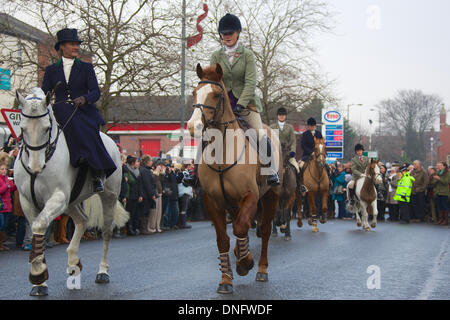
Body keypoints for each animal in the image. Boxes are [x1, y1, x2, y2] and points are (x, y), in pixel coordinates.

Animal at [14, 88, 122, 298]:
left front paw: (37, 274)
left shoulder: (58, 197)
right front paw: (40, 280)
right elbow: (36, 228)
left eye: (47, 128)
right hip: (72, 201)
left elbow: (39, 225)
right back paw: (74, 261)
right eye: (22, 128)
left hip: (108, 197)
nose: (35, 167)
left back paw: (102, 272)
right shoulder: (27, 201)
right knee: (82, 220)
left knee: (106, 232)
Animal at [187, 63, 282, 296]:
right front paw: (226, 279)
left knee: (264, 230)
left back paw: (261, 269)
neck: (222, 151)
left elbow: (240, 228)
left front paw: (245, 262)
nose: (193, 127)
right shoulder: (213, 202)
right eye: (194, 92)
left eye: (216, 94)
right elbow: (223, 239)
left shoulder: (250, 196)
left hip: (270, 197)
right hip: (233, 204)